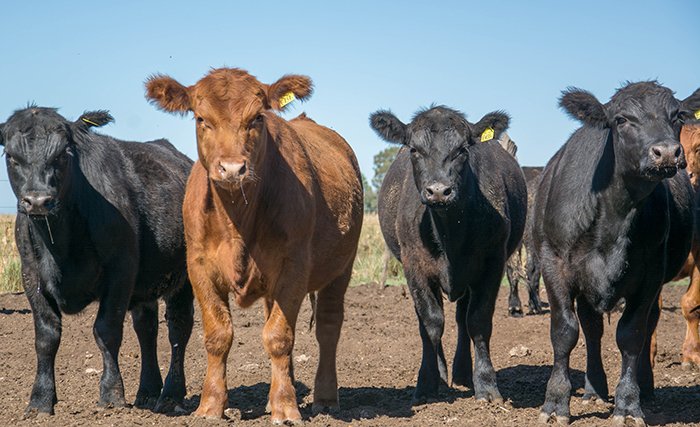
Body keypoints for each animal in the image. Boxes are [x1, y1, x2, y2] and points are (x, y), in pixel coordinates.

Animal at [0, 107, 194, 418]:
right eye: (11, 156)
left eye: (63, 154)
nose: (38, 200)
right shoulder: (31, 276)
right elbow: (46, 337)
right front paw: (40, 400)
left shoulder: (120, 271)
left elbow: (106, 330)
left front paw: (111, 394)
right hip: (145, 286)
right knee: (146, 329)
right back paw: (147, 393)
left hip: (184, 276)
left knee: (178, 328)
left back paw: (171, 395)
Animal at [145, 68, 364, 422]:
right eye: (201, 118)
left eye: (257, 117)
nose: (232, 168)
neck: (237, 218)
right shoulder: (199, 267)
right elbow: (218, 335)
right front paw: (211, 406)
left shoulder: (295, 268)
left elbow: (278, 336)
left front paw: (286, 408)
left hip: (341, 267)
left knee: (329, 326)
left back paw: (325, 399)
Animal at [372, 106, 524, 404]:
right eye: (414, 150)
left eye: (462, 150)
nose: (438, 191)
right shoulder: (414, 267)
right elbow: (431, 323)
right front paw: (427, 384)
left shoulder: (492, 265)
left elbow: (477, 321)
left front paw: (486, 385)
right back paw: (442, 375)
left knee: (462, 319)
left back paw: (463, 374)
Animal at [532, 82, 696, 426]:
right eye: (621, 119)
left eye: (677, 115)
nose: (667, 152)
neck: (615, 214)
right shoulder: (554, 265)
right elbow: (565, 331)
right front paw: (555, 402)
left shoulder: (650, 276)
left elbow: (631, 334)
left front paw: (629, 404)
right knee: (592, 328)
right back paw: (594, 389)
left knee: (649, 324)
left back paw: (644, 387)